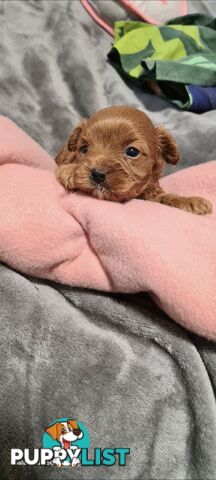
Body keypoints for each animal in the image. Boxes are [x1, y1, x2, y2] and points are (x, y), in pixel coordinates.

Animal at [55, 107, 213, 216]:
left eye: (132, 152)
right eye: (84, 149)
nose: (97, 174)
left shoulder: (152, 193)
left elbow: (163, 197)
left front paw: (190, 201)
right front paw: (70, 171)